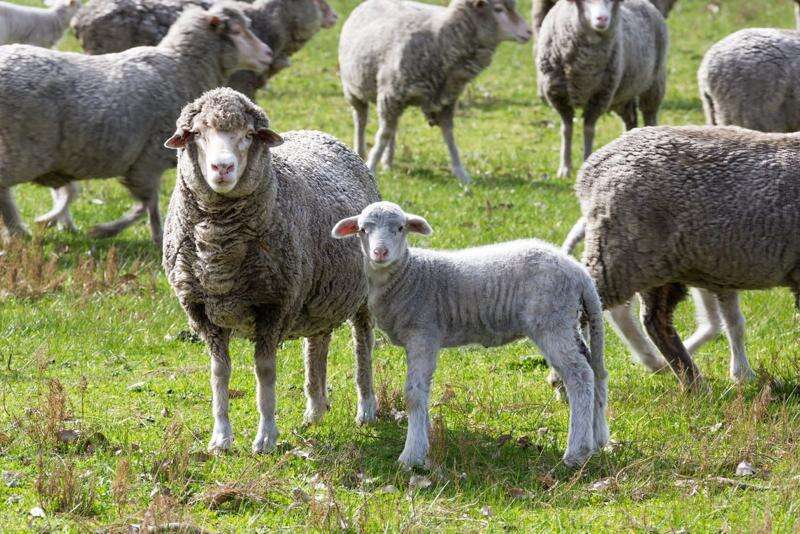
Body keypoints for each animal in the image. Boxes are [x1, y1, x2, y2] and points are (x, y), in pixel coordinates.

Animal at [0, 3, 272, 244]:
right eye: (236, 30)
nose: (268, 54)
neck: (181, 68)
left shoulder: (145, 163)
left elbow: (149, 204)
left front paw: (156, 235)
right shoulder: (146, 161)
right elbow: (145, 204)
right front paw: (108, 230)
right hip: (22, 151)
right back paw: (19, 230)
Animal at [162, 88, 380, 454]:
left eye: (249, 135)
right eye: (198, 133)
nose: (223, 167)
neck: (219, 248)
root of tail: (318, 133)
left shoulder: (272, 306)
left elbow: (264, 374)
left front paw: (265, 437)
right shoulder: (203, 312)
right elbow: (219, 374)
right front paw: (220, 438)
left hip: (362, 292)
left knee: (362, 343)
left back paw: (366, 408)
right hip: (318, 293)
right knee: (317, 344)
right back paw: (315, 410)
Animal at [332, 201, 608, 468]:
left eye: (400, 228)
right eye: (363, 230)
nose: (380, 253)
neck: (409, 276)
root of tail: (578, 272)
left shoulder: (423, 333)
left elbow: (413, 394)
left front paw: (412, 455)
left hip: (551, 321)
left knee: (580, 376)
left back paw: (577, 453)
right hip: (569, 322)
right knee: (596, 371)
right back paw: (597, 440)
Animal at [338, 0, 532, 185]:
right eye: (498, 9)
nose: (529, 32)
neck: (441, 39)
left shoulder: (447, 100)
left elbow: (449, 135)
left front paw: (461, 173)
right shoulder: (390, 94)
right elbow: (383, 135)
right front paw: (371, 164)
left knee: (393, 127)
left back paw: (388, 161)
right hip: (354, 90)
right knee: (362, 121)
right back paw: (361, 150)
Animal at [536, 0, 668, 178]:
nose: (602, 18)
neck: (584, 67)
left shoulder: (600, 96)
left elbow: (589, 130)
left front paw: (586, 161)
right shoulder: (558, 96)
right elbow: (566, 129)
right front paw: (565, 168)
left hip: (654, 84)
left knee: (650, 117)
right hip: (623, 94)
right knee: (630, 119)